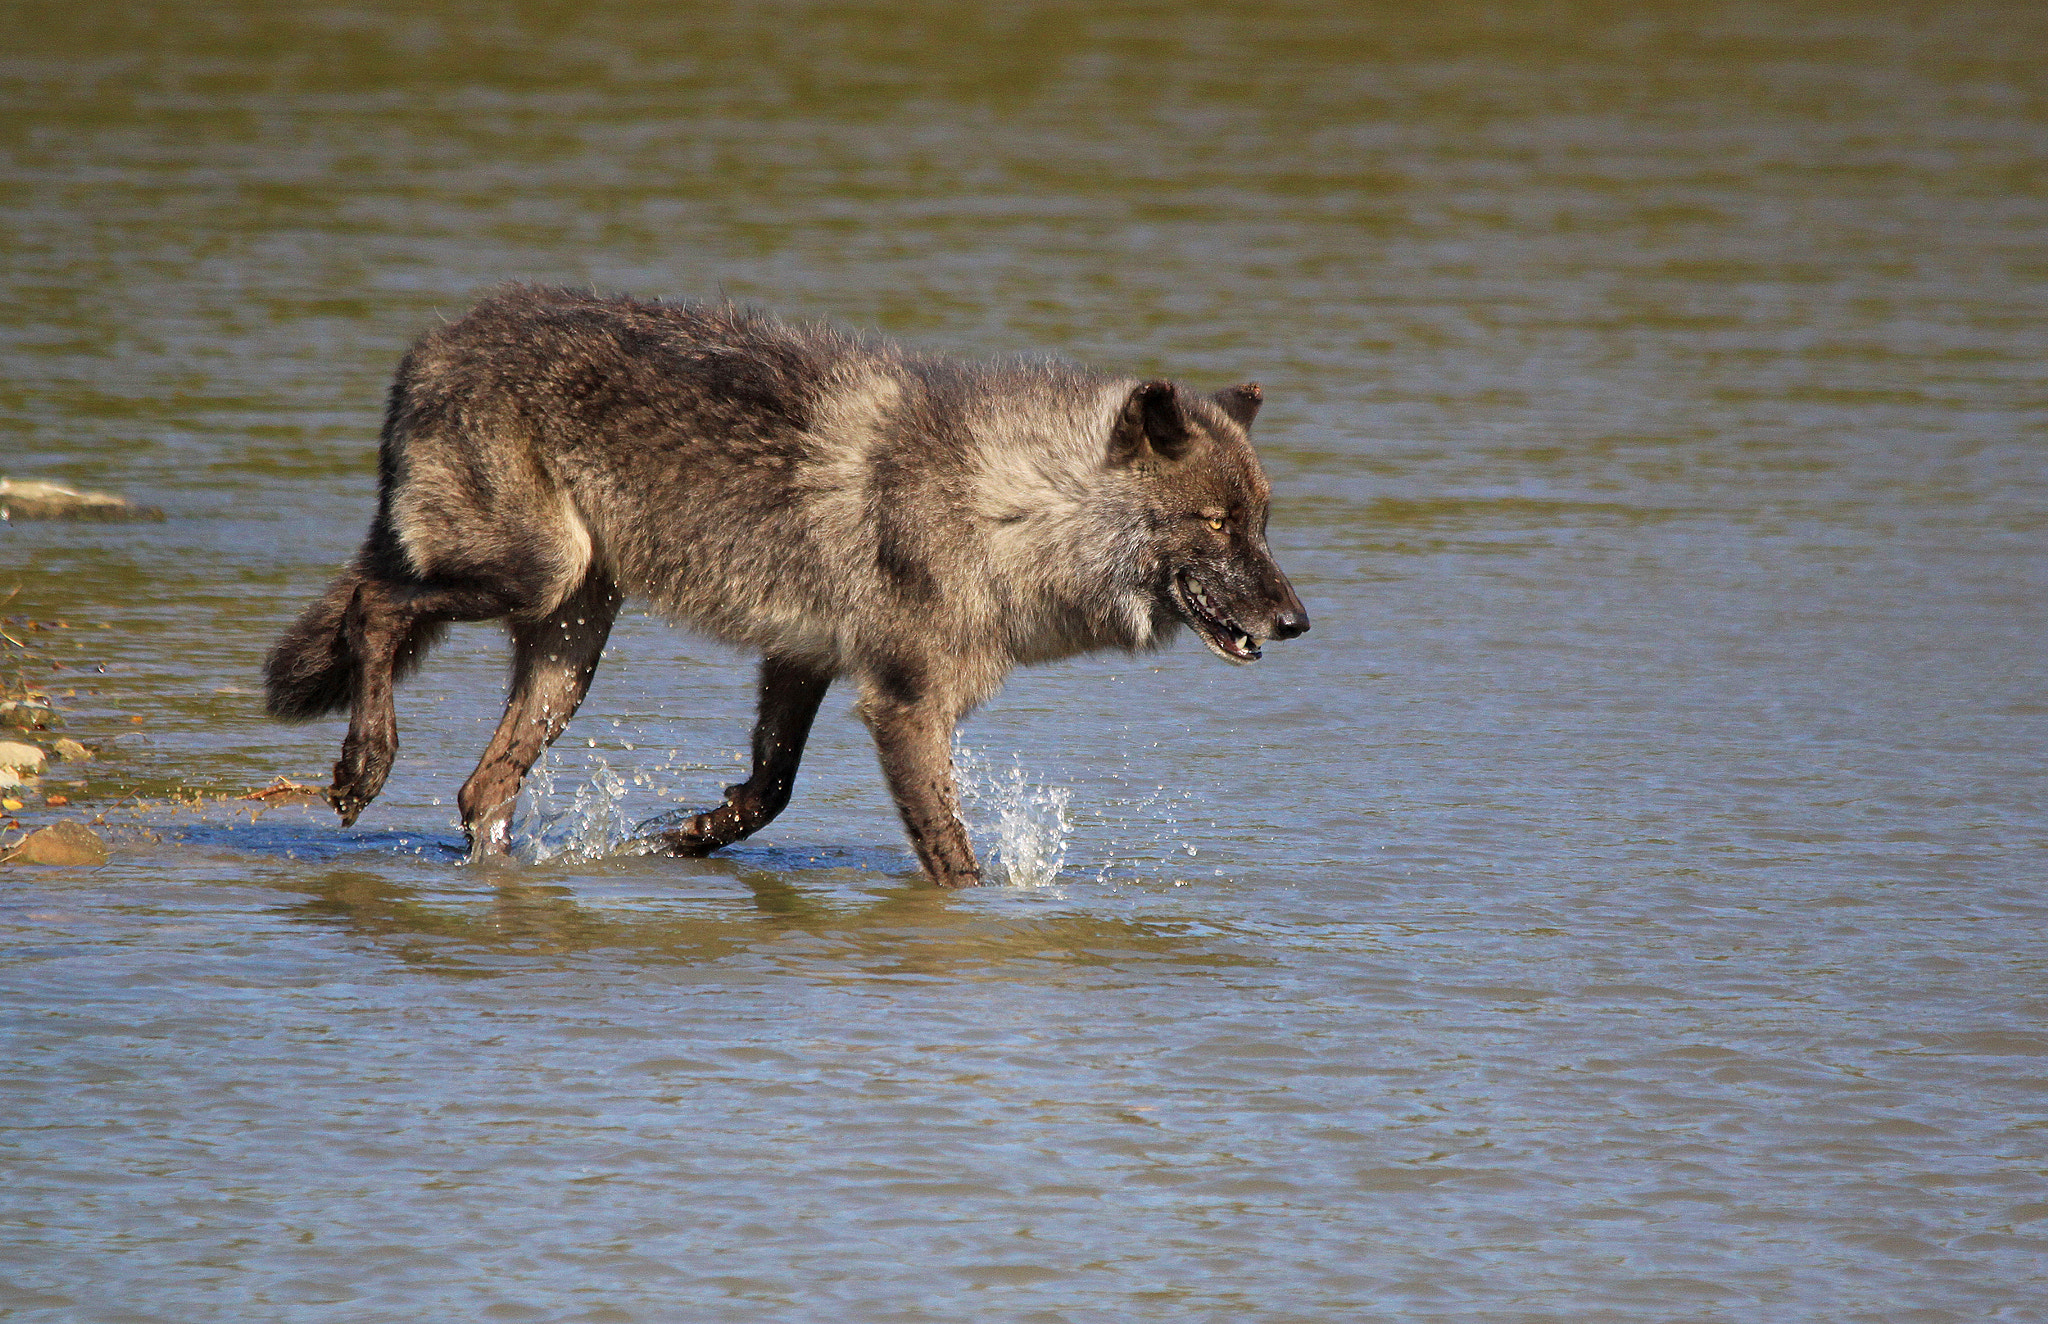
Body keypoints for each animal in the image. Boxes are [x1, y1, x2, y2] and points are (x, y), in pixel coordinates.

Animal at [264, 285, 1309, 886]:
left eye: (1261, 522)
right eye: (1217, 524)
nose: (1297, 621)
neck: (1007, 505)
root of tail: (429, 347)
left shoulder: (802, 657)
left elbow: (766, 792)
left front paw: (662, 844)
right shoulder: (906, 705)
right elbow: (953, 857)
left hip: (568, 644)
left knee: (481, 789)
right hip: (537, 578)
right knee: (375, 610)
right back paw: (363, 764)